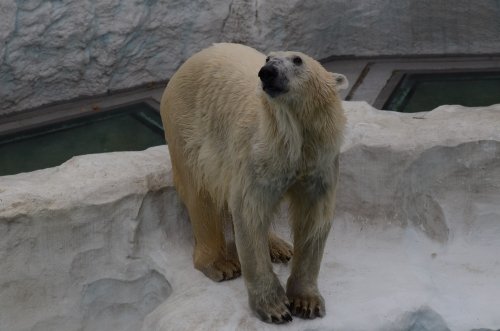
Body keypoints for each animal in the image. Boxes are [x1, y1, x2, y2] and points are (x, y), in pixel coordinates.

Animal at [161, 43, 348, 324]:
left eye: (297, 60)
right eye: (269, 57)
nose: (267, 72)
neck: (294, 139)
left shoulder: (320, 163)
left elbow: (313, 220)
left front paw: (307, 302)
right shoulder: (258, 156)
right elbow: (249, 214)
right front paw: (275, 308)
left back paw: (279, 247)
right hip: (187, 130)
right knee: (200, 196)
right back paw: (221, 264)